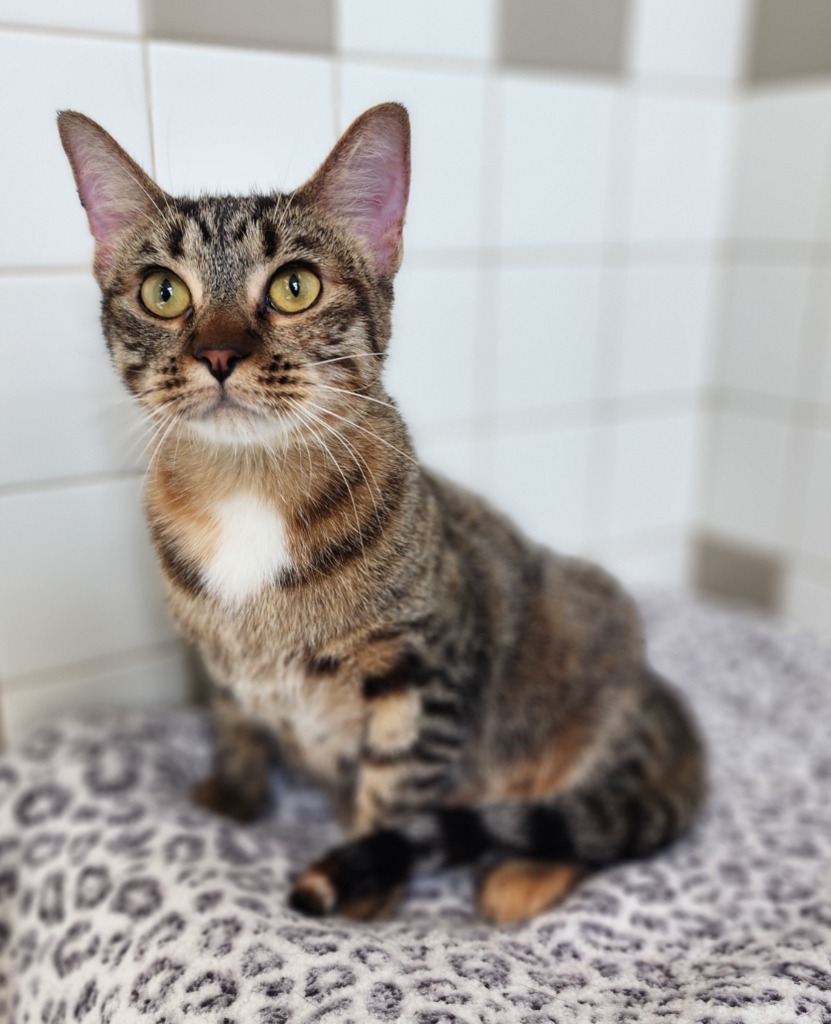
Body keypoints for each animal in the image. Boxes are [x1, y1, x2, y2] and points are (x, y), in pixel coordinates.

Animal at [60, 105, 708, 929]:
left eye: (295, 286)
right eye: (163, 292)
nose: (218, 353)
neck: (248, 489)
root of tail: (659, 699)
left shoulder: (424, 667)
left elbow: (397, 785)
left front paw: (365, 884)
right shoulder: (219, 663)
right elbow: (236, 723)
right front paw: (230, 799)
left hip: (593, 646)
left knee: (588, 817)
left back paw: (521, 873)